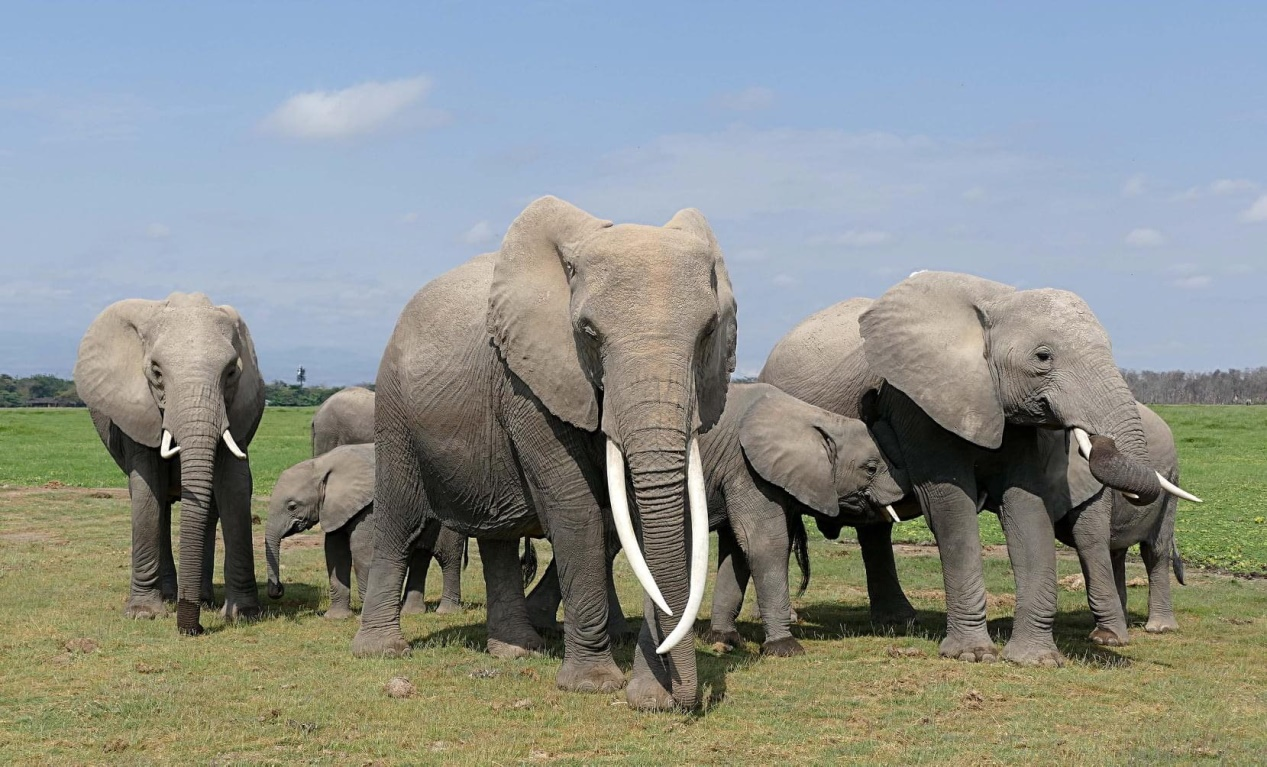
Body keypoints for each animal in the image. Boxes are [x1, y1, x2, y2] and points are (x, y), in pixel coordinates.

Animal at [74, 290, 264, 631]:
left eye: (231, 372)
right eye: (157, 373)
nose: (193, 629)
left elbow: (235, 488)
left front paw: (243, 614)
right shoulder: (136, 412)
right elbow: (147, 490)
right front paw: (143, 613)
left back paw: (202, 600)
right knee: (158, 502)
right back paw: (169, 598)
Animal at [264, 443, 468, 616]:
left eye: (292, 506)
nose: (278, 590)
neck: (321, 464)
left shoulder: (370, 506)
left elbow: (361, 551)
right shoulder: (335, 508)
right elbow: (334, 552)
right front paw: (336, 618)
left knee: (448, 558)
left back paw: (446, 612)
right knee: (420, 557)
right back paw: (410, 613)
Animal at [352, 193, 739, 709]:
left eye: (708, 331)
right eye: (588, 332)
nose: (680, 700)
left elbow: (646, 521)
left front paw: (647, 694)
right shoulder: (528, 383)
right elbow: (576, 511)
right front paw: (595, 685)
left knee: (497, 535)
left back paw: (515, 650)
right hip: (394, 409)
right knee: (399, 521)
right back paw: (381, 651)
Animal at [709, 380, 907, 654]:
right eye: (870, 469)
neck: (815, 418)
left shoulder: (735, 472)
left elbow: (736, 549)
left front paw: (724, 639)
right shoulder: (746, 469)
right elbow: (764, 544)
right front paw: (785, 648)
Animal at [760, 273, 1196, 664]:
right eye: (1043, 357)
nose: (868, 405)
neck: (999, 301)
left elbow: (1026, 506)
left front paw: (1035, 660)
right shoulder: (915, 402)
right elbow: (950, 505)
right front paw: (972, 655)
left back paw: (898, 623)